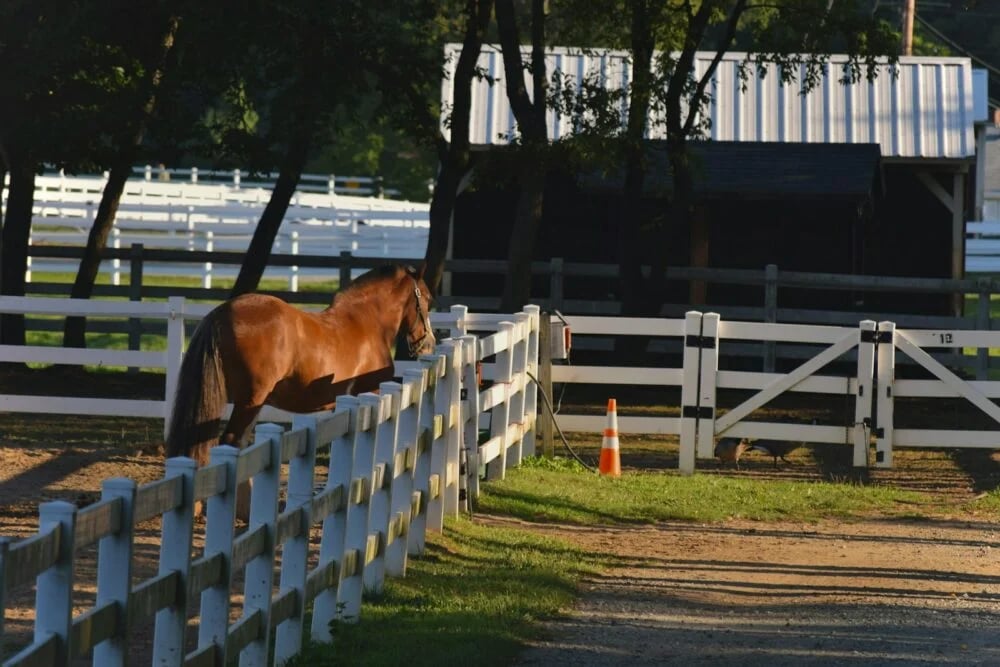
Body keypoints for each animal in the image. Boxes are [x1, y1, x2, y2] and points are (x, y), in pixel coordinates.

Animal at [165, 263, 436, 474]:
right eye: (426, 298)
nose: (428, 343)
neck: (367, 324)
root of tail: (220, 314)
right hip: (249, 401)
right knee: (230, 442)